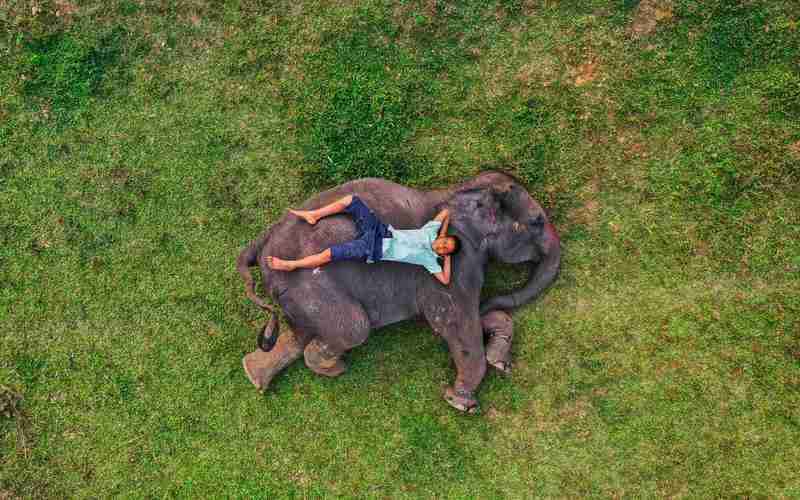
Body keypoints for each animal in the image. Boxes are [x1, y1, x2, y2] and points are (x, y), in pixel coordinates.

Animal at [238, 170, 564, 412]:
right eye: (537, 222)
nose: (489, 302)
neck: (459, 190)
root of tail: (260, 246)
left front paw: (498, 360)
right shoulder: (458, 265)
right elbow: (453, 323)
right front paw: (460, 403)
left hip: (297, 293)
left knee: (303, 332)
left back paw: (255, 376)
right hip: (311, 286)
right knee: (354, 328)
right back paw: (335, 368)